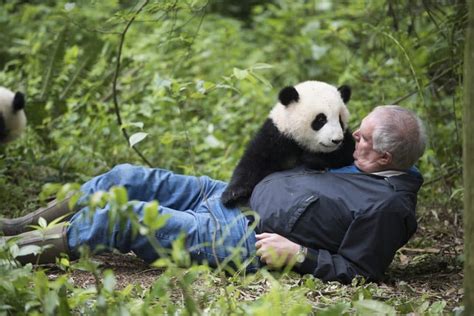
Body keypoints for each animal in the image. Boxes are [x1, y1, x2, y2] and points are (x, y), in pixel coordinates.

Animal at [220, 79, 354, 207]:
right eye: (321, 119)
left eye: (340, 120)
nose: (336, 140)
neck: (299, 143)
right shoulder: (276, 136)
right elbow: (253, 162)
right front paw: (233, 194)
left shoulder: (345, 141)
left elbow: (346, 154)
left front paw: (312, 158)